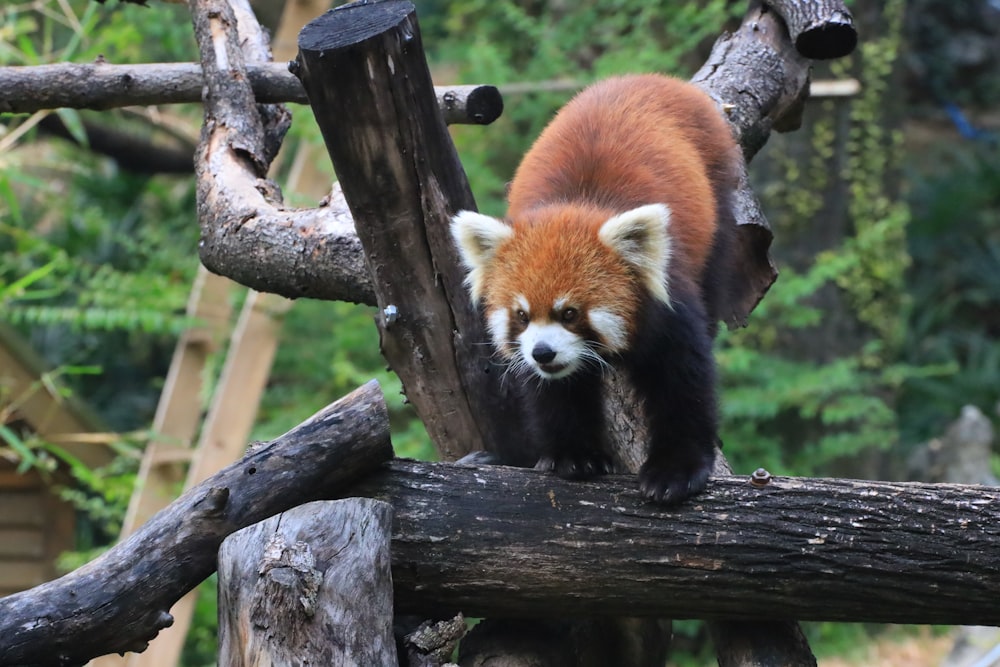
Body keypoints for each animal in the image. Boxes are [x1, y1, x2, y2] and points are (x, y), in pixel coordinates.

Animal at [450, 73, 740, 504]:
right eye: (522, 316)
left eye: (569, 313)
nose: (543, 352)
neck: (576, 203)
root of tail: (646, 78)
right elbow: (555, 392)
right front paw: (575, 455)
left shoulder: (667, 298)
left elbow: (682, 379)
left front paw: (676, 469)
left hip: (717, 193)